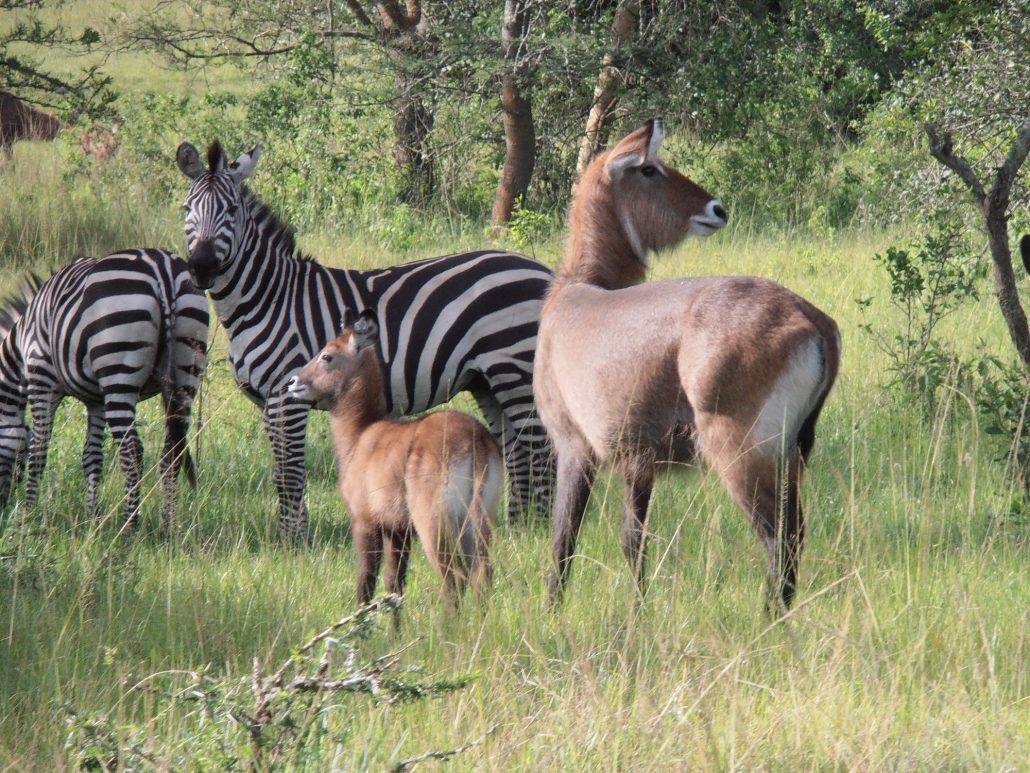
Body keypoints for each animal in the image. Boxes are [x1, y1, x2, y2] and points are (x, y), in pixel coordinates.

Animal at [0, 248, 209, 531]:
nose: (4, 509)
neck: (19, 350)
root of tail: (163, 271)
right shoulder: (96, 400)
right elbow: (92, 456)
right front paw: (92, 517)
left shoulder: (41, 378)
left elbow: (38, 451)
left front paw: (29, 514)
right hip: (187, 368)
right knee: (172, 451)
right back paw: (168, 527)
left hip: (119, 370)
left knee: (133, 452)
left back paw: (129, 528)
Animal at [175, 138, 556, 540]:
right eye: (187, 208)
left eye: (231, 211)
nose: (201, 267)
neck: (267, 298)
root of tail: (542, 270)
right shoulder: (268, 402)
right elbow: (282, 469)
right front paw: (293, 535)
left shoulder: (286, 395)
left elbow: (290, 473)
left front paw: (294, 540)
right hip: (488, 379)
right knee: (515, 450)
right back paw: (516, 526)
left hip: (513, 367)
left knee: (540, 450)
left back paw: (539, 528)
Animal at [288, 311, 500, 610]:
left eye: (327, 355)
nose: (293, 382)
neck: (360, 433)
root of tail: (477, 439)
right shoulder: (399, 530)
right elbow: (395, 585)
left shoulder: (365, 522)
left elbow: (365, 583)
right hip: (477, 522)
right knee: (482, 573)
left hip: (433, 523)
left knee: (454, 576)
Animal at [535, 118, 840, 614]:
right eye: (649, 169)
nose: (718, 209)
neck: (578, 293)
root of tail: (812, 319)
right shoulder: (638, 462)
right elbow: (632, 540)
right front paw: (637, 612)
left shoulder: (574, 446)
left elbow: (564, 539)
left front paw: (552, 613)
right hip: (791, 453)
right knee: (792, 532)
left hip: (741, 452)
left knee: (781, 536)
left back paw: (767, 620)